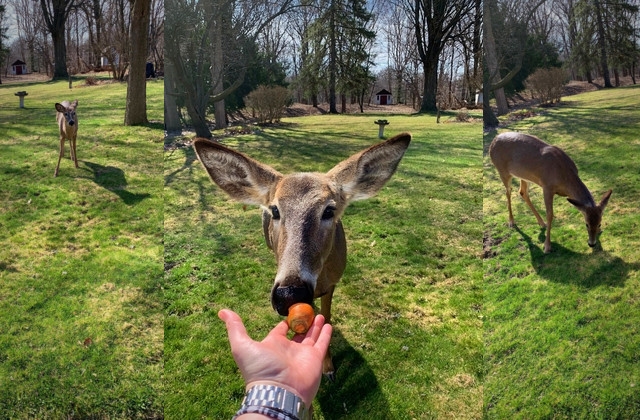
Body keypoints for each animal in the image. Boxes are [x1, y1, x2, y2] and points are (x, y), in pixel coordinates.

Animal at [194, 132, 410, 380]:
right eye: (275, 210)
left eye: (329, 210)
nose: (290, 293)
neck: (318, 281)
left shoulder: (333, 283)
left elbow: (327, 319)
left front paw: (328, 368)